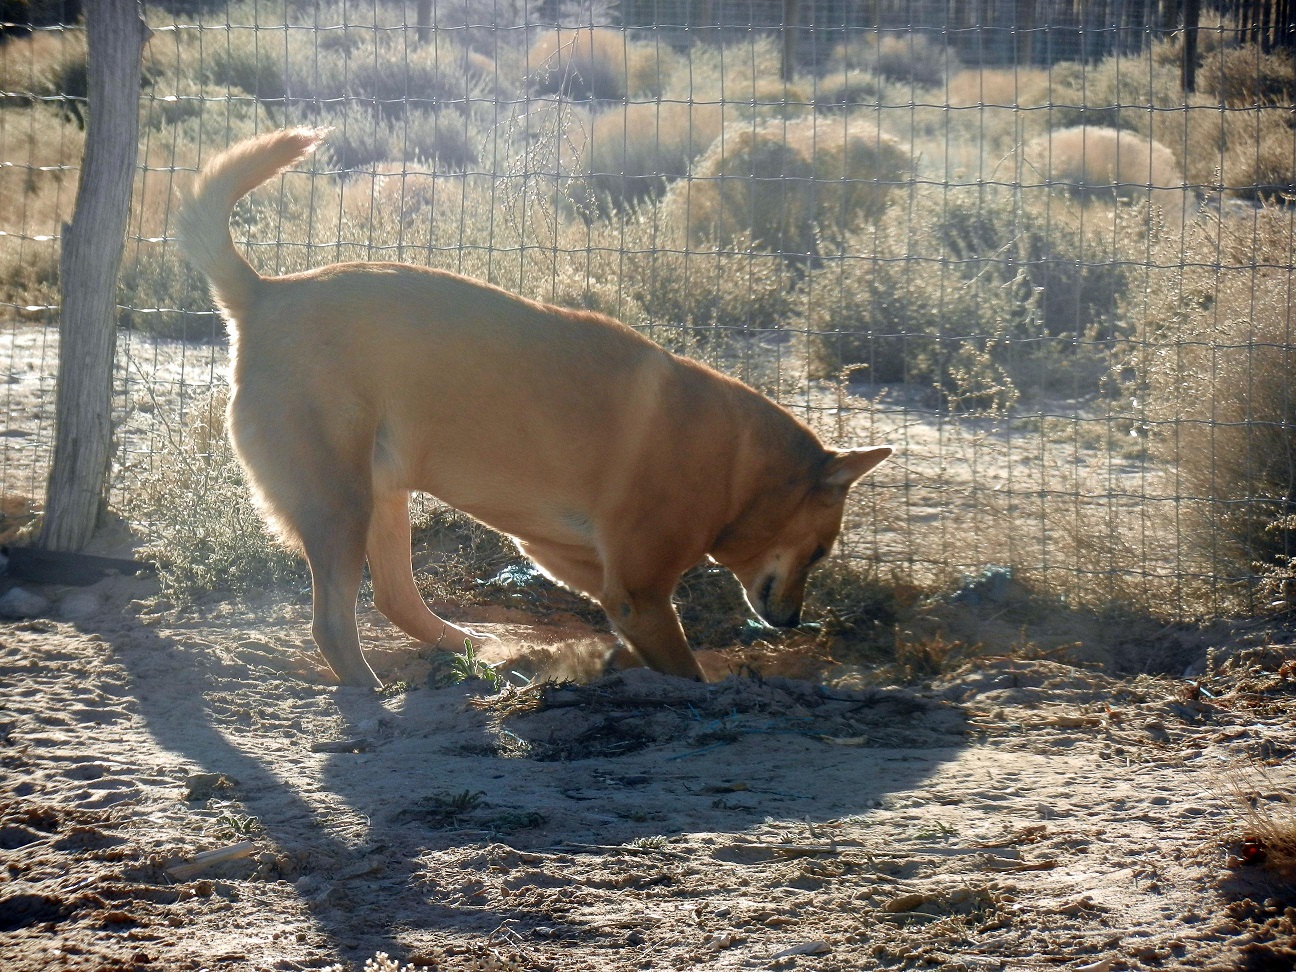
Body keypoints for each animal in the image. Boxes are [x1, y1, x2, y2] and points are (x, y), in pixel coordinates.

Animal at [180, 131, 891, 694]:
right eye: (821, 551)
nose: (793, 621)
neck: (737, 466)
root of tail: (265, 295)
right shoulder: (639, 590)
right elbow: (683, 668)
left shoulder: (571, 558)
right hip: (340, 505)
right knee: (333, 622)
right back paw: (373, 690)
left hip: (382, 497)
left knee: (394, 598)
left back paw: (475, 651)